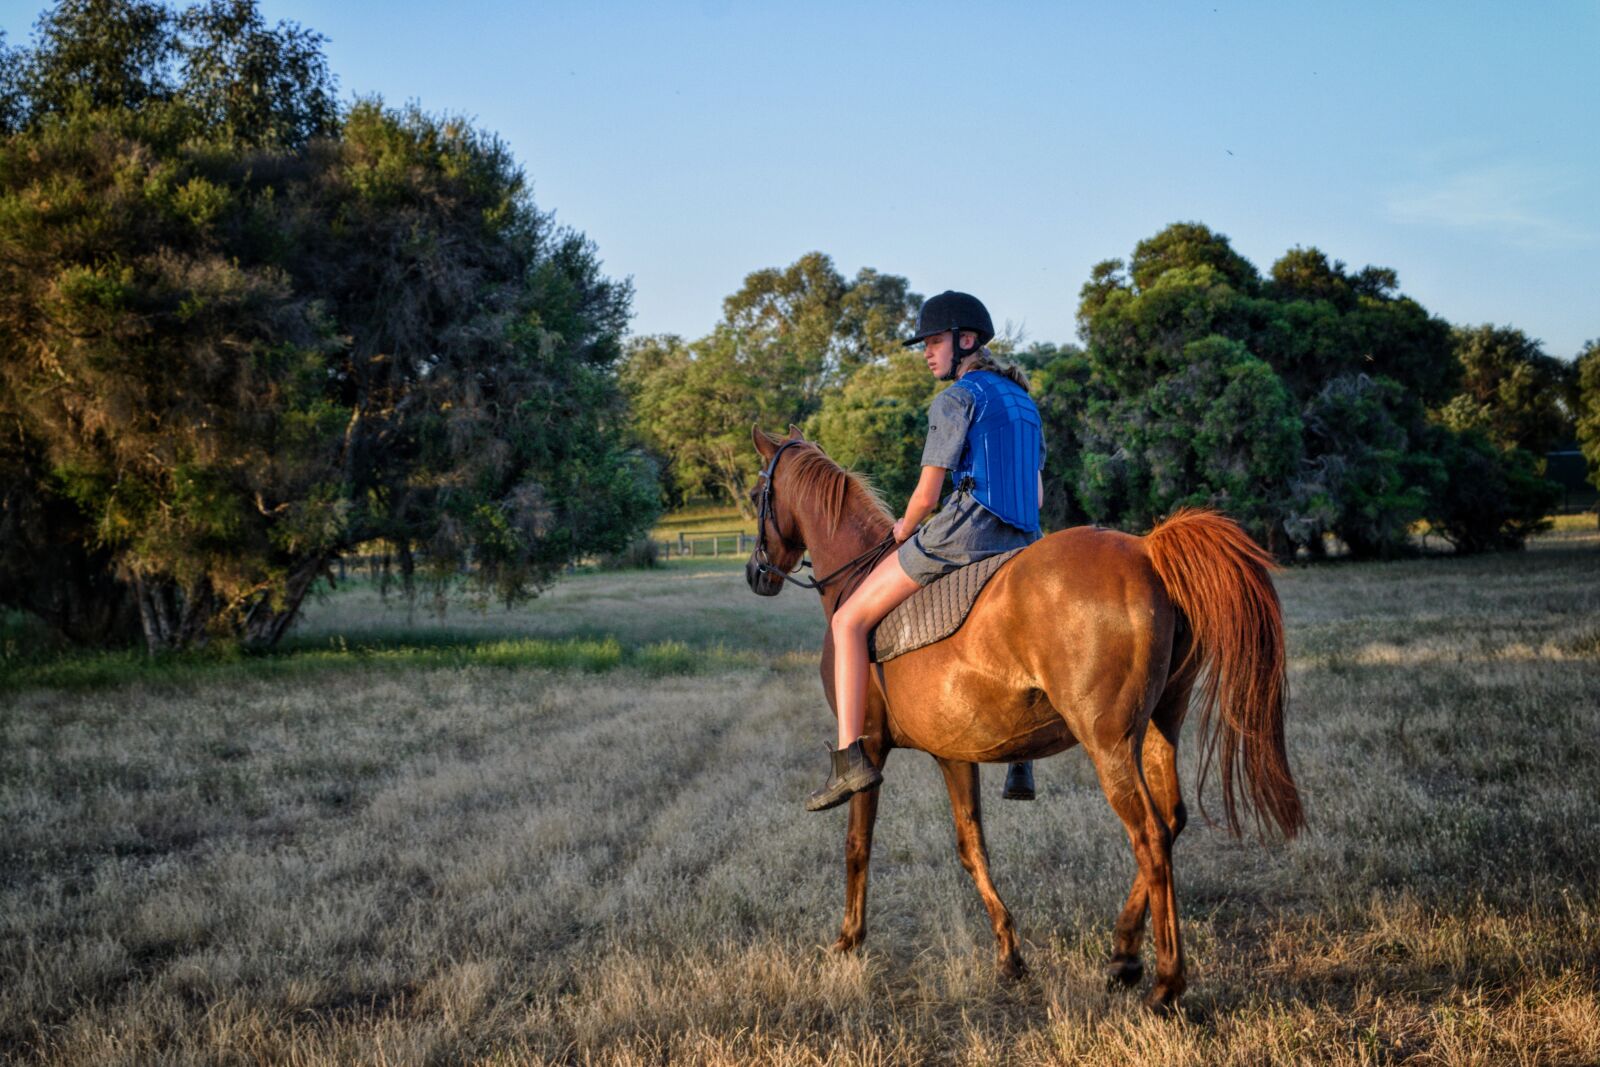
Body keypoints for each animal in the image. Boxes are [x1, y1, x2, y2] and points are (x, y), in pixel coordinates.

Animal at [743, 426, 1303, 1011]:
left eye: (758, 495)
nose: (757, 573)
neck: (856, 577)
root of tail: (1146, 549)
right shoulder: (953, 754)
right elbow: (972, 849)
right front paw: (1009, 955)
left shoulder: (869, 749)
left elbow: (857, 846)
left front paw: (848, 940)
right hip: (1156, 729)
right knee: (1170, 822)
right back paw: (1122, 951)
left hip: (1108, 743)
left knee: (1149, 836)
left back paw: (1164, 983)